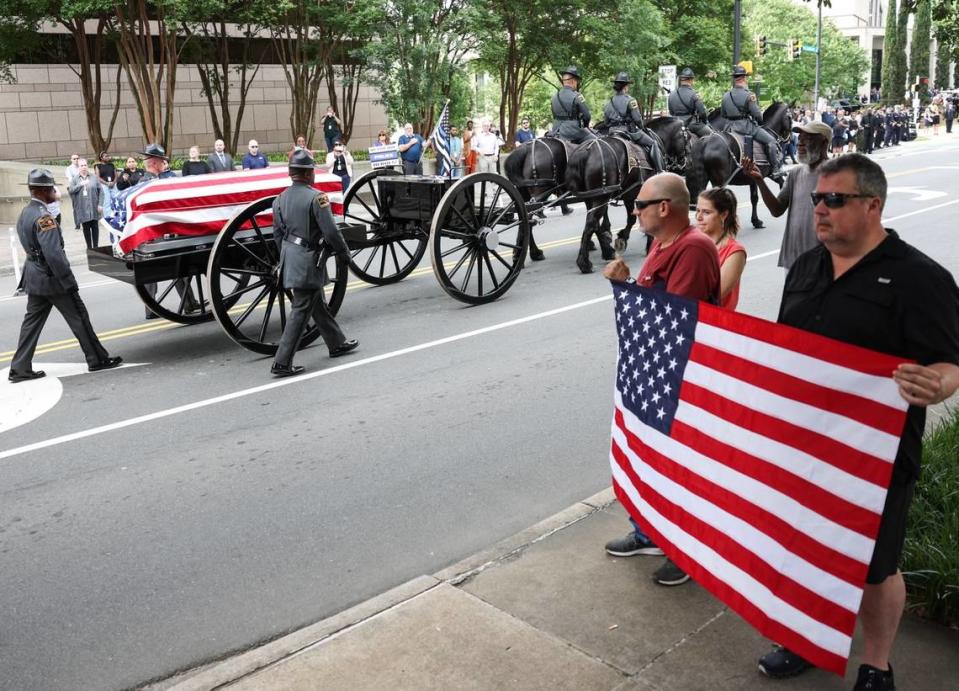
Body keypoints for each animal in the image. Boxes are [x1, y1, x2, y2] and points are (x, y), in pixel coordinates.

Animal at [692, 102, 792, 230]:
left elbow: (754, 198)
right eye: (790, 117)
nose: (788, 139)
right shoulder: (772, 173)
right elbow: (781, 182)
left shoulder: (754, 177)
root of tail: (706, 141)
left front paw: (756, 221)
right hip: (719, 181)